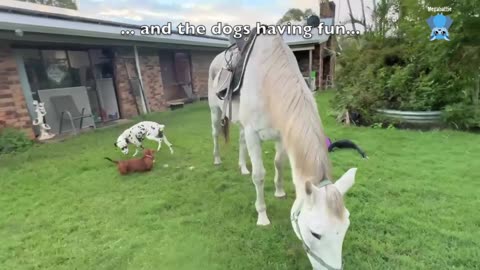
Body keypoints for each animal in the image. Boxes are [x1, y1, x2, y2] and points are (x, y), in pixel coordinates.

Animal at [216, 30, 358, 268]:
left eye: (346, 227)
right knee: (215, 135)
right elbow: (259, 175)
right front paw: (262, 216)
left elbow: (279, 163)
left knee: (241, 142)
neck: (268, 78)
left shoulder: (283, 134)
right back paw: (217, 159)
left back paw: (242, 167)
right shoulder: (254, 134)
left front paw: (280, 191)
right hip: (215, 112)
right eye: (315, 233)